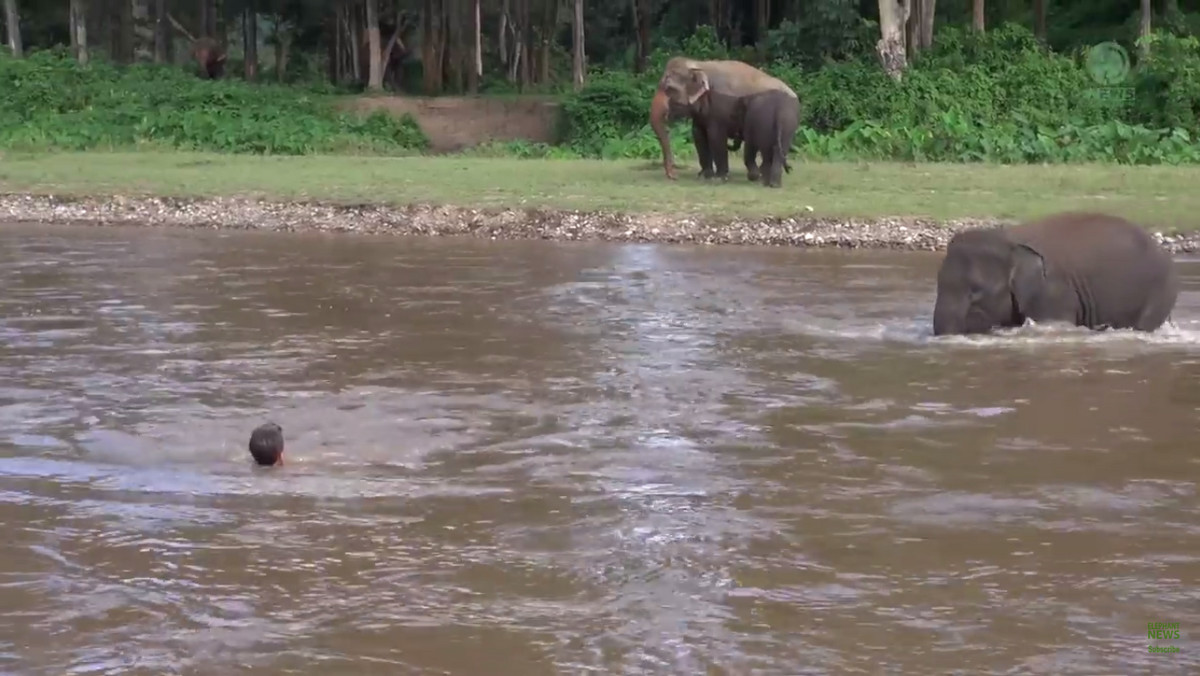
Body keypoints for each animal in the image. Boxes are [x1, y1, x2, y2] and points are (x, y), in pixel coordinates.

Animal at [648, 56, 796, 182]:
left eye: (669, 89)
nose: (674, 176)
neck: (700, 65)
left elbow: (716, 136)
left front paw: (719, 177)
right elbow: (698, 135)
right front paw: (704, 175)